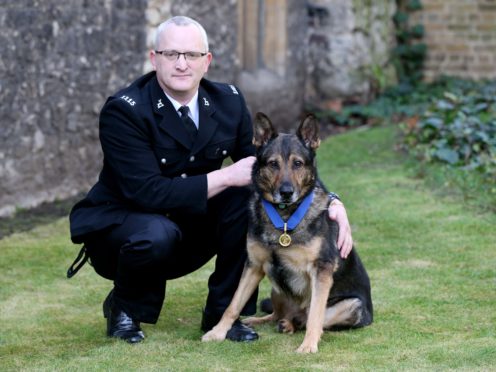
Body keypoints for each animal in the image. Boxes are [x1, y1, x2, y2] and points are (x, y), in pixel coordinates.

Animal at [202, 112, 372, 354]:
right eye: (273, 164)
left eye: (298, 164)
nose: (286, 192)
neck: (283, 218)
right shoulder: (254, 266)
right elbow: (233, 305)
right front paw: (218, 332)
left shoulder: (321, 271)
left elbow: (315, 316)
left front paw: (309, 346)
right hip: (277, 287)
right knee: (276, 314)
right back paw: (262, 321)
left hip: (350, 305)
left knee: (306, 317)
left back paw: (291, 325)